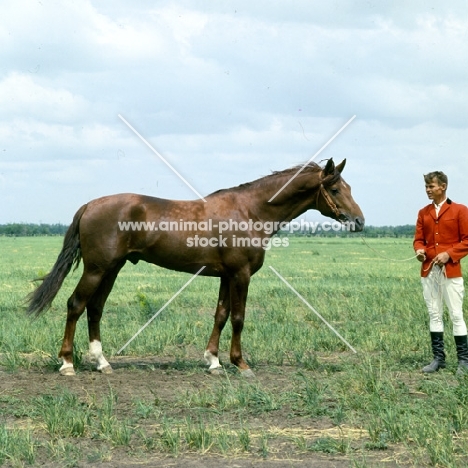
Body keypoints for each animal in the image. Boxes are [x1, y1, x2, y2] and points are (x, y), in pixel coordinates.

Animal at [27, 158, 366, 376]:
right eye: (335, 190)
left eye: (349, 187)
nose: (359, 221)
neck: (250, 211)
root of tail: (90, 205)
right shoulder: (241, 274)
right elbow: (239, 318)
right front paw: (240, 364)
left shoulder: (226, 276)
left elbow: (221, 315)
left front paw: (213, 361)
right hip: (97, 269)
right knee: (75, 305)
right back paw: (68, 364)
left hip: (112, 269)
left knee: (95, 308)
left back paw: (102, 362)